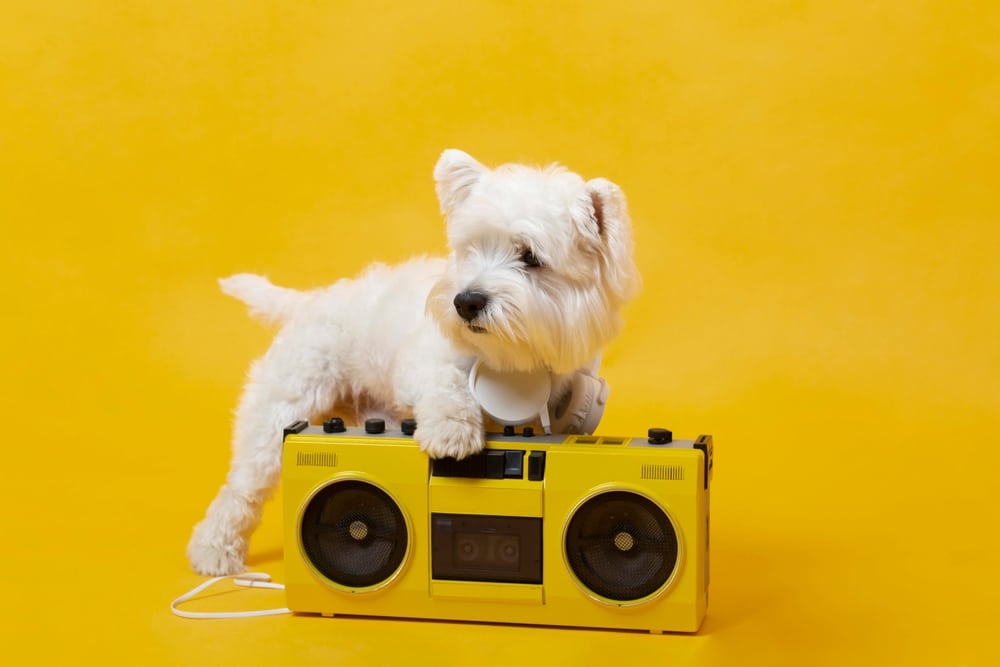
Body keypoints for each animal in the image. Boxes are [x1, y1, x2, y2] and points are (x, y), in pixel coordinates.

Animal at [188, 149, 640, 576]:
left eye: (530, 257)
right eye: (470, 250)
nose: (465, 302)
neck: (513, 358)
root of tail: (308, 302)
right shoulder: (425, 363)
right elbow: (446, 386)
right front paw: (452, 430)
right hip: (279, 411)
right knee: (242, 488)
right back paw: (214, 550)